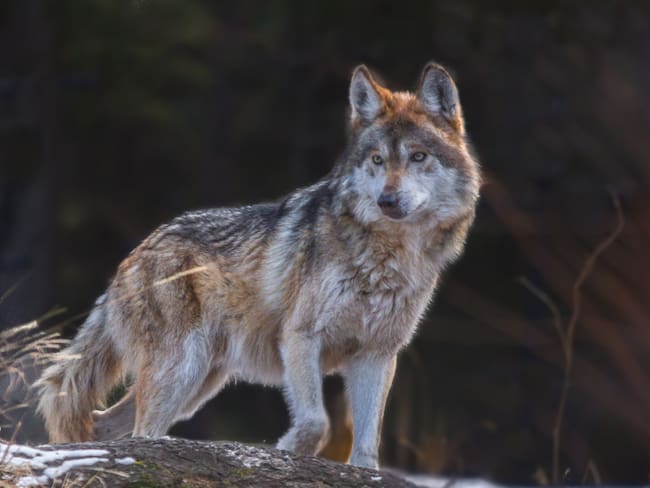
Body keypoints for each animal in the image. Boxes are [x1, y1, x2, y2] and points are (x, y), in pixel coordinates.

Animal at [36, 62, 481, 469]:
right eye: (376, 159)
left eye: (418, 157)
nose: (387, 201)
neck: (388, 256)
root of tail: (132, 256)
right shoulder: (300, 338)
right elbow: (316, 423)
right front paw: (284, 451)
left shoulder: (376, 355)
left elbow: (368, 447)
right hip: (182, 370)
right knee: (139, 429)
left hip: (199, 383)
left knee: (105, 423)